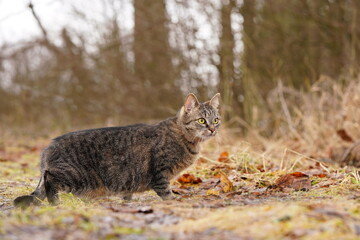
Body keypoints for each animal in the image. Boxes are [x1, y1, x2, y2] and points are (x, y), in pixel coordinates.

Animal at [14, 93, 221, 207]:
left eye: (216, 119)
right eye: (201, 120)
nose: (212, 129)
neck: (189, 140)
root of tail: (48, 147)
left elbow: (127, 193)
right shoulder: (160, 173)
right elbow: (166, 192)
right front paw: (174, 202)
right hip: (75, 176)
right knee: (49, 179)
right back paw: (55, 202)